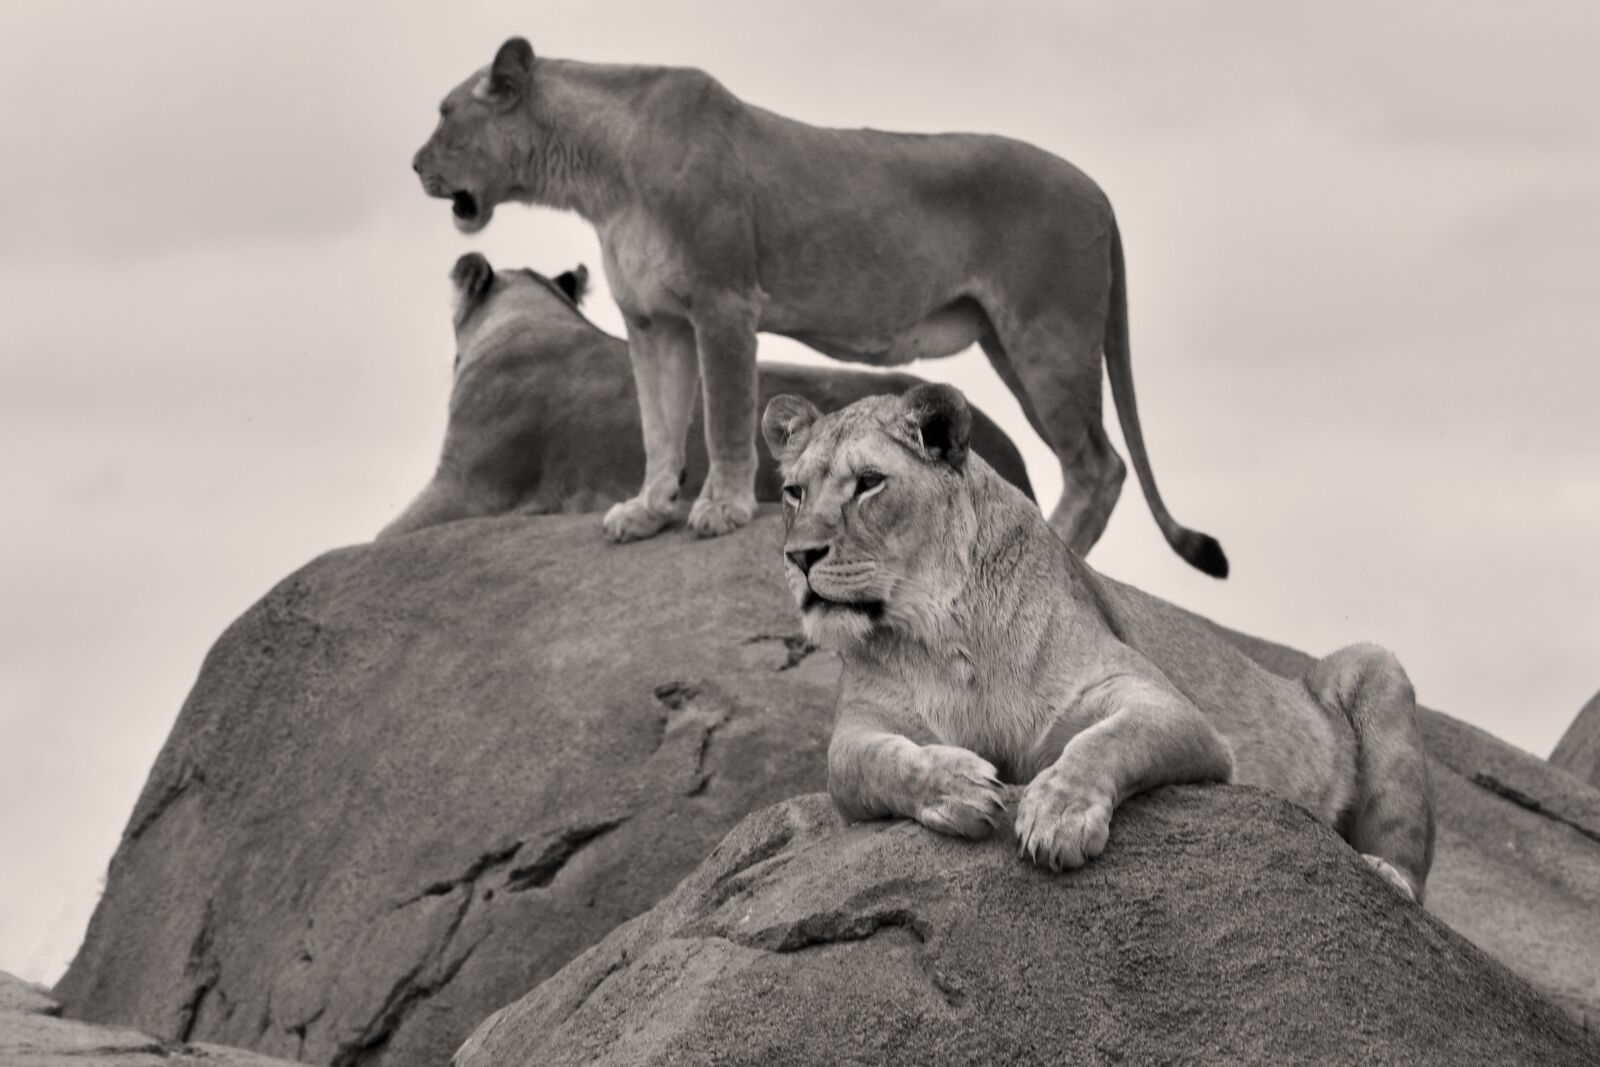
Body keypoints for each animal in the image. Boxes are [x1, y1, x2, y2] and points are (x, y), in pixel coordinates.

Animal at [761, 384, 1434, 901]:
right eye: (794, 492)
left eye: (869, 483)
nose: (798, 557)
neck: (941, 635)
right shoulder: (859, 728)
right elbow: (874, 763)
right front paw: (954, 787)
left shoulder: (1167, 707)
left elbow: (1106, 740)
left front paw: (1058, 815)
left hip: (1377, 666)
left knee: (1410, 865)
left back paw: (1385, 876)